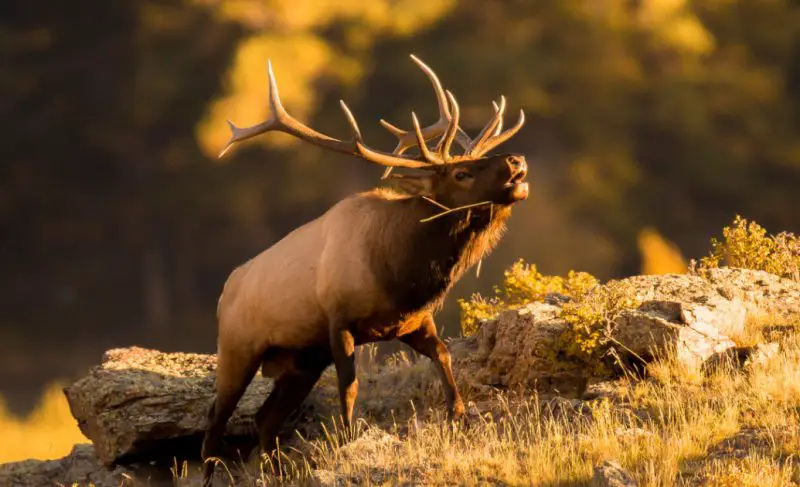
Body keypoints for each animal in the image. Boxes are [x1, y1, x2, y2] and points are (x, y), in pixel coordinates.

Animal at [201, 54, 528, 484]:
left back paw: (275, 471)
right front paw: (348, 437)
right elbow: (350, 387)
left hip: (301, 360)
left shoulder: (413, 322)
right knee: (215, 419)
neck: (400, 272)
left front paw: (459, 418)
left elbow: (444, 356)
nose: (516, 159)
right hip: (238, 347)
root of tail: (225, 290)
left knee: (265, 418)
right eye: (461, 173)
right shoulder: (339, 320)